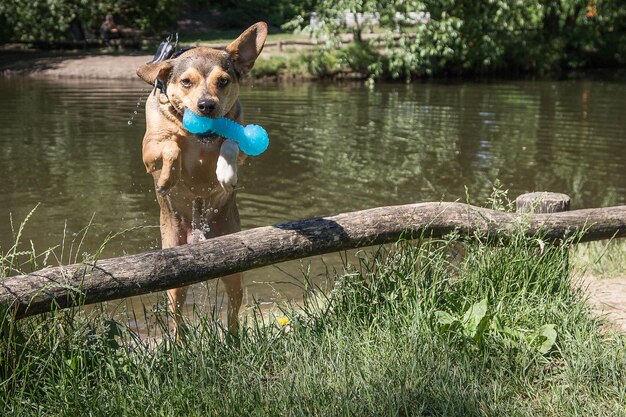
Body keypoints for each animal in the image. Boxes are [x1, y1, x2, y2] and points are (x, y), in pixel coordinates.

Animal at [137, 23, 268, 334]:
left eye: (223, 81)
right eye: (186, 82)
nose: (207, 105)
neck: (198, 137)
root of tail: (197, 234)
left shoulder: (240, 139)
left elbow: (230, 143)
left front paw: (226, 172)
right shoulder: (149, 149)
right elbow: (171, 145)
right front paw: (168, 178)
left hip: (234, 267)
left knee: (233, 307)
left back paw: (233, 337)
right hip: (174, 273)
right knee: (176, 313)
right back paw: (179, 340)